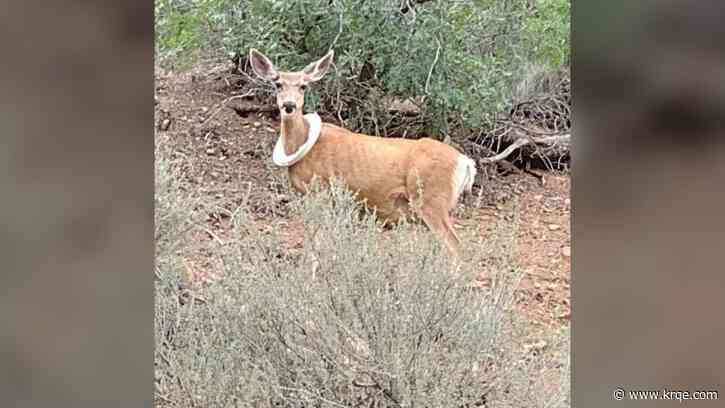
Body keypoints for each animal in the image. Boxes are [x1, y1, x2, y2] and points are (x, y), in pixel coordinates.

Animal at [248, 48, 477, 257]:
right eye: (278, 84)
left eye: (303, 86)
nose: (289, 105)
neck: (303, 146)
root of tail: (465, 162)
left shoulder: (320, 190)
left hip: (431, 199)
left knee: (455, 245)